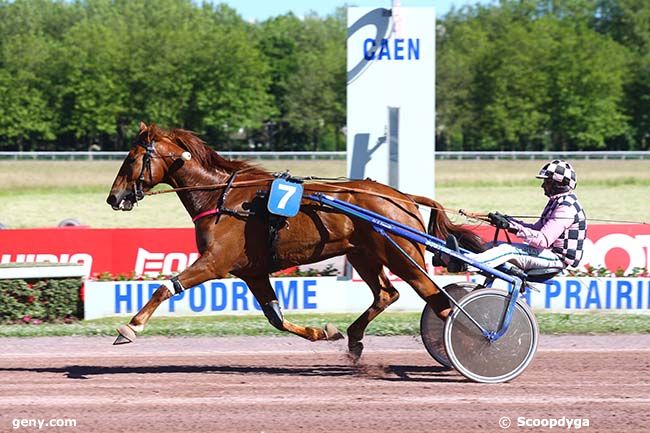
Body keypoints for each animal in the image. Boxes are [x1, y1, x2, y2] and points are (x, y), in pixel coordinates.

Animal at [106, 121, 480, 358]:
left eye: (132, 158)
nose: (114, 197)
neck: (222, 197)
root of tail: (402, 197)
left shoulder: (215, 262)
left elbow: (165, 287)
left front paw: (129, 328)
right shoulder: (252, 272)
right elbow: (275, 317)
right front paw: (324, 332)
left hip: (403, 257)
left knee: (439, 301)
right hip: (364, 255)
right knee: (388, 294)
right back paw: (354, 340)